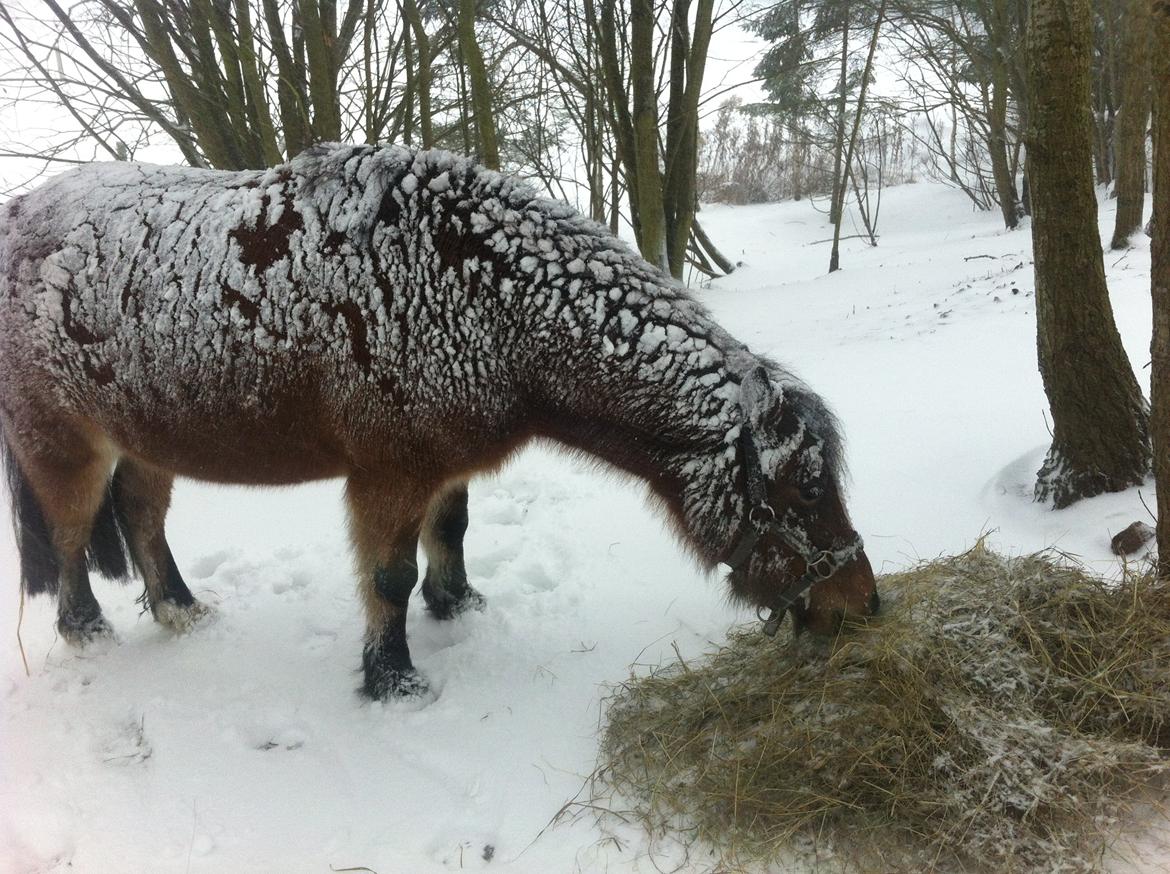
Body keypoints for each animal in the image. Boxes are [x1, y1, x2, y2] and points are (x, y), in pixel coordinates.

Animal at [0, 143, 879, 702]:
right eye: (805, 493)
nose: (864, 606)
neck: (486, 296)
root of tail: (19, 215)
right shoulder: (389, 473)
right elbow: (387, 578)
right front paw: (392, 678)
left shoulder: (441, 465)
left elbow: (448, 534)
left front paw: (458, 605)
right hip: (66, 445)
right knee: (73, 535)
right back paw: (89, 631)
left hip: (148, 437)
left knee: (140, 517)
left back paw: (180, 610)